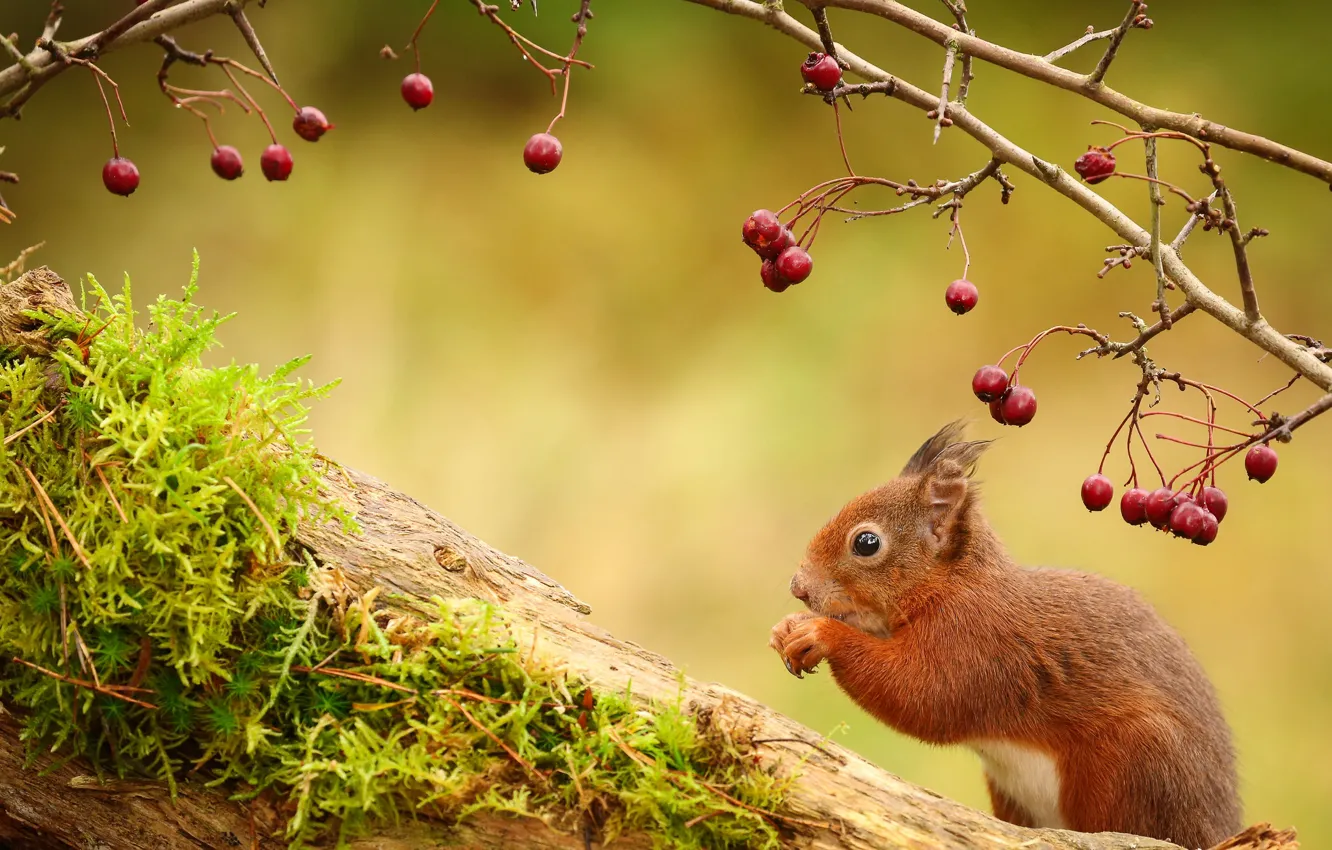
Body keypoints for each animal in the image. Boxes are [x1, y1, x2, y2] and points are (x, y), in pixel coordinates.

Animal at [772, 423, 1236, 847]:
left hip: (1136, 763)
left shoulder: (979, 641)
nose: (798, 587)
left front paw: (821, 633)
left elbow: (924, 696)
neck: (952, 585)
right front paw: (785, 628)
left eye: (866, 543)